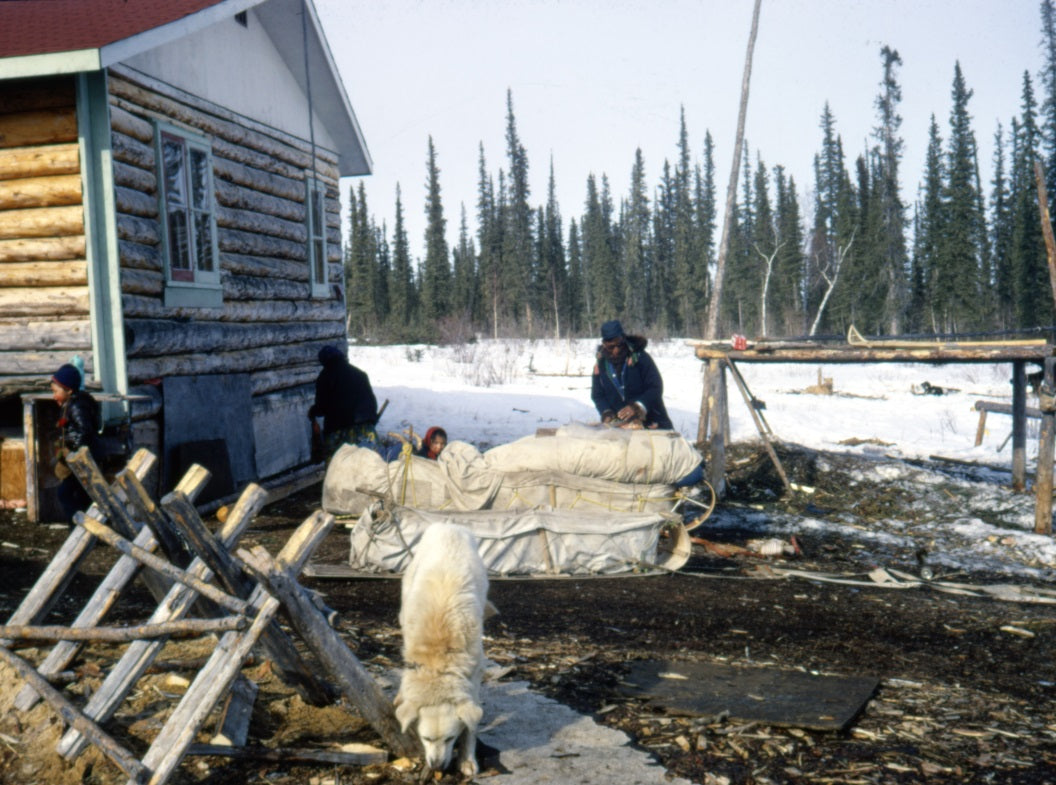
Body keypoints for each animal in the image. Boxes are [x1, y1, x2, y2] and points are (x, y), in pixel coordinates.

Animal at [397, 524, 489, 777]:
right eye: (425, 738)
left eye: (450, 739)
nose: (437, 767)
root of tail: (449, 524)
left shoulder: (474, 671)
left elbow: (471, 724)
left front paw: (467, 759)